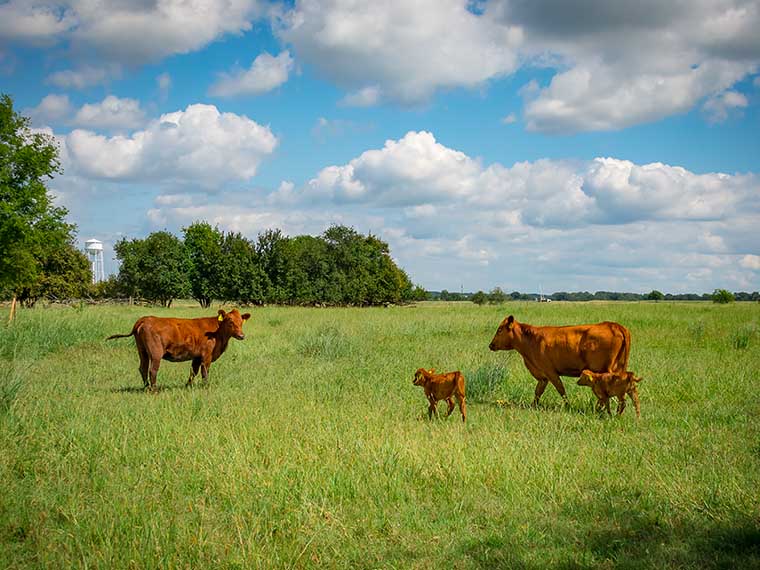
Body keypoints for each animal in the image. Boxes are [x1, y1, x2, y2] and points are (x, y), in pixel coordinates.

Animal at [107, 308, 251, 388]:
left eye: (241, 321)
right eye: (230, 321)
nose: (241, 335)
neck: (218, 332)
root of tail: (145, 318)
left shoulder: (196, 357)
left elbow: (193, 372)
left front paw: (188, 386)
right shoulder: (206, 356)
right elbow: (204, 372)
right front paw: (206, 387)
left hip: (142, 351)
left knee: (143, 368)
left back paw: (146, 387)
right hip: (155, 353)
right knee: (152, 370)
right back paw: (154, 390)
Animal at [490, 316, 632, 404]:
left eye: (500, 329)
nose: (490, 345)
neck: (531, 340)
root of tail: (614, 325)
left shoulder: (550, 372)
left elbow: (561, 389)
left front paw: (568, 406)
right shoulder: (543, 376)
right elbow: (538, 391)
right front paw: (533, 405)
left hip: (605, 369)